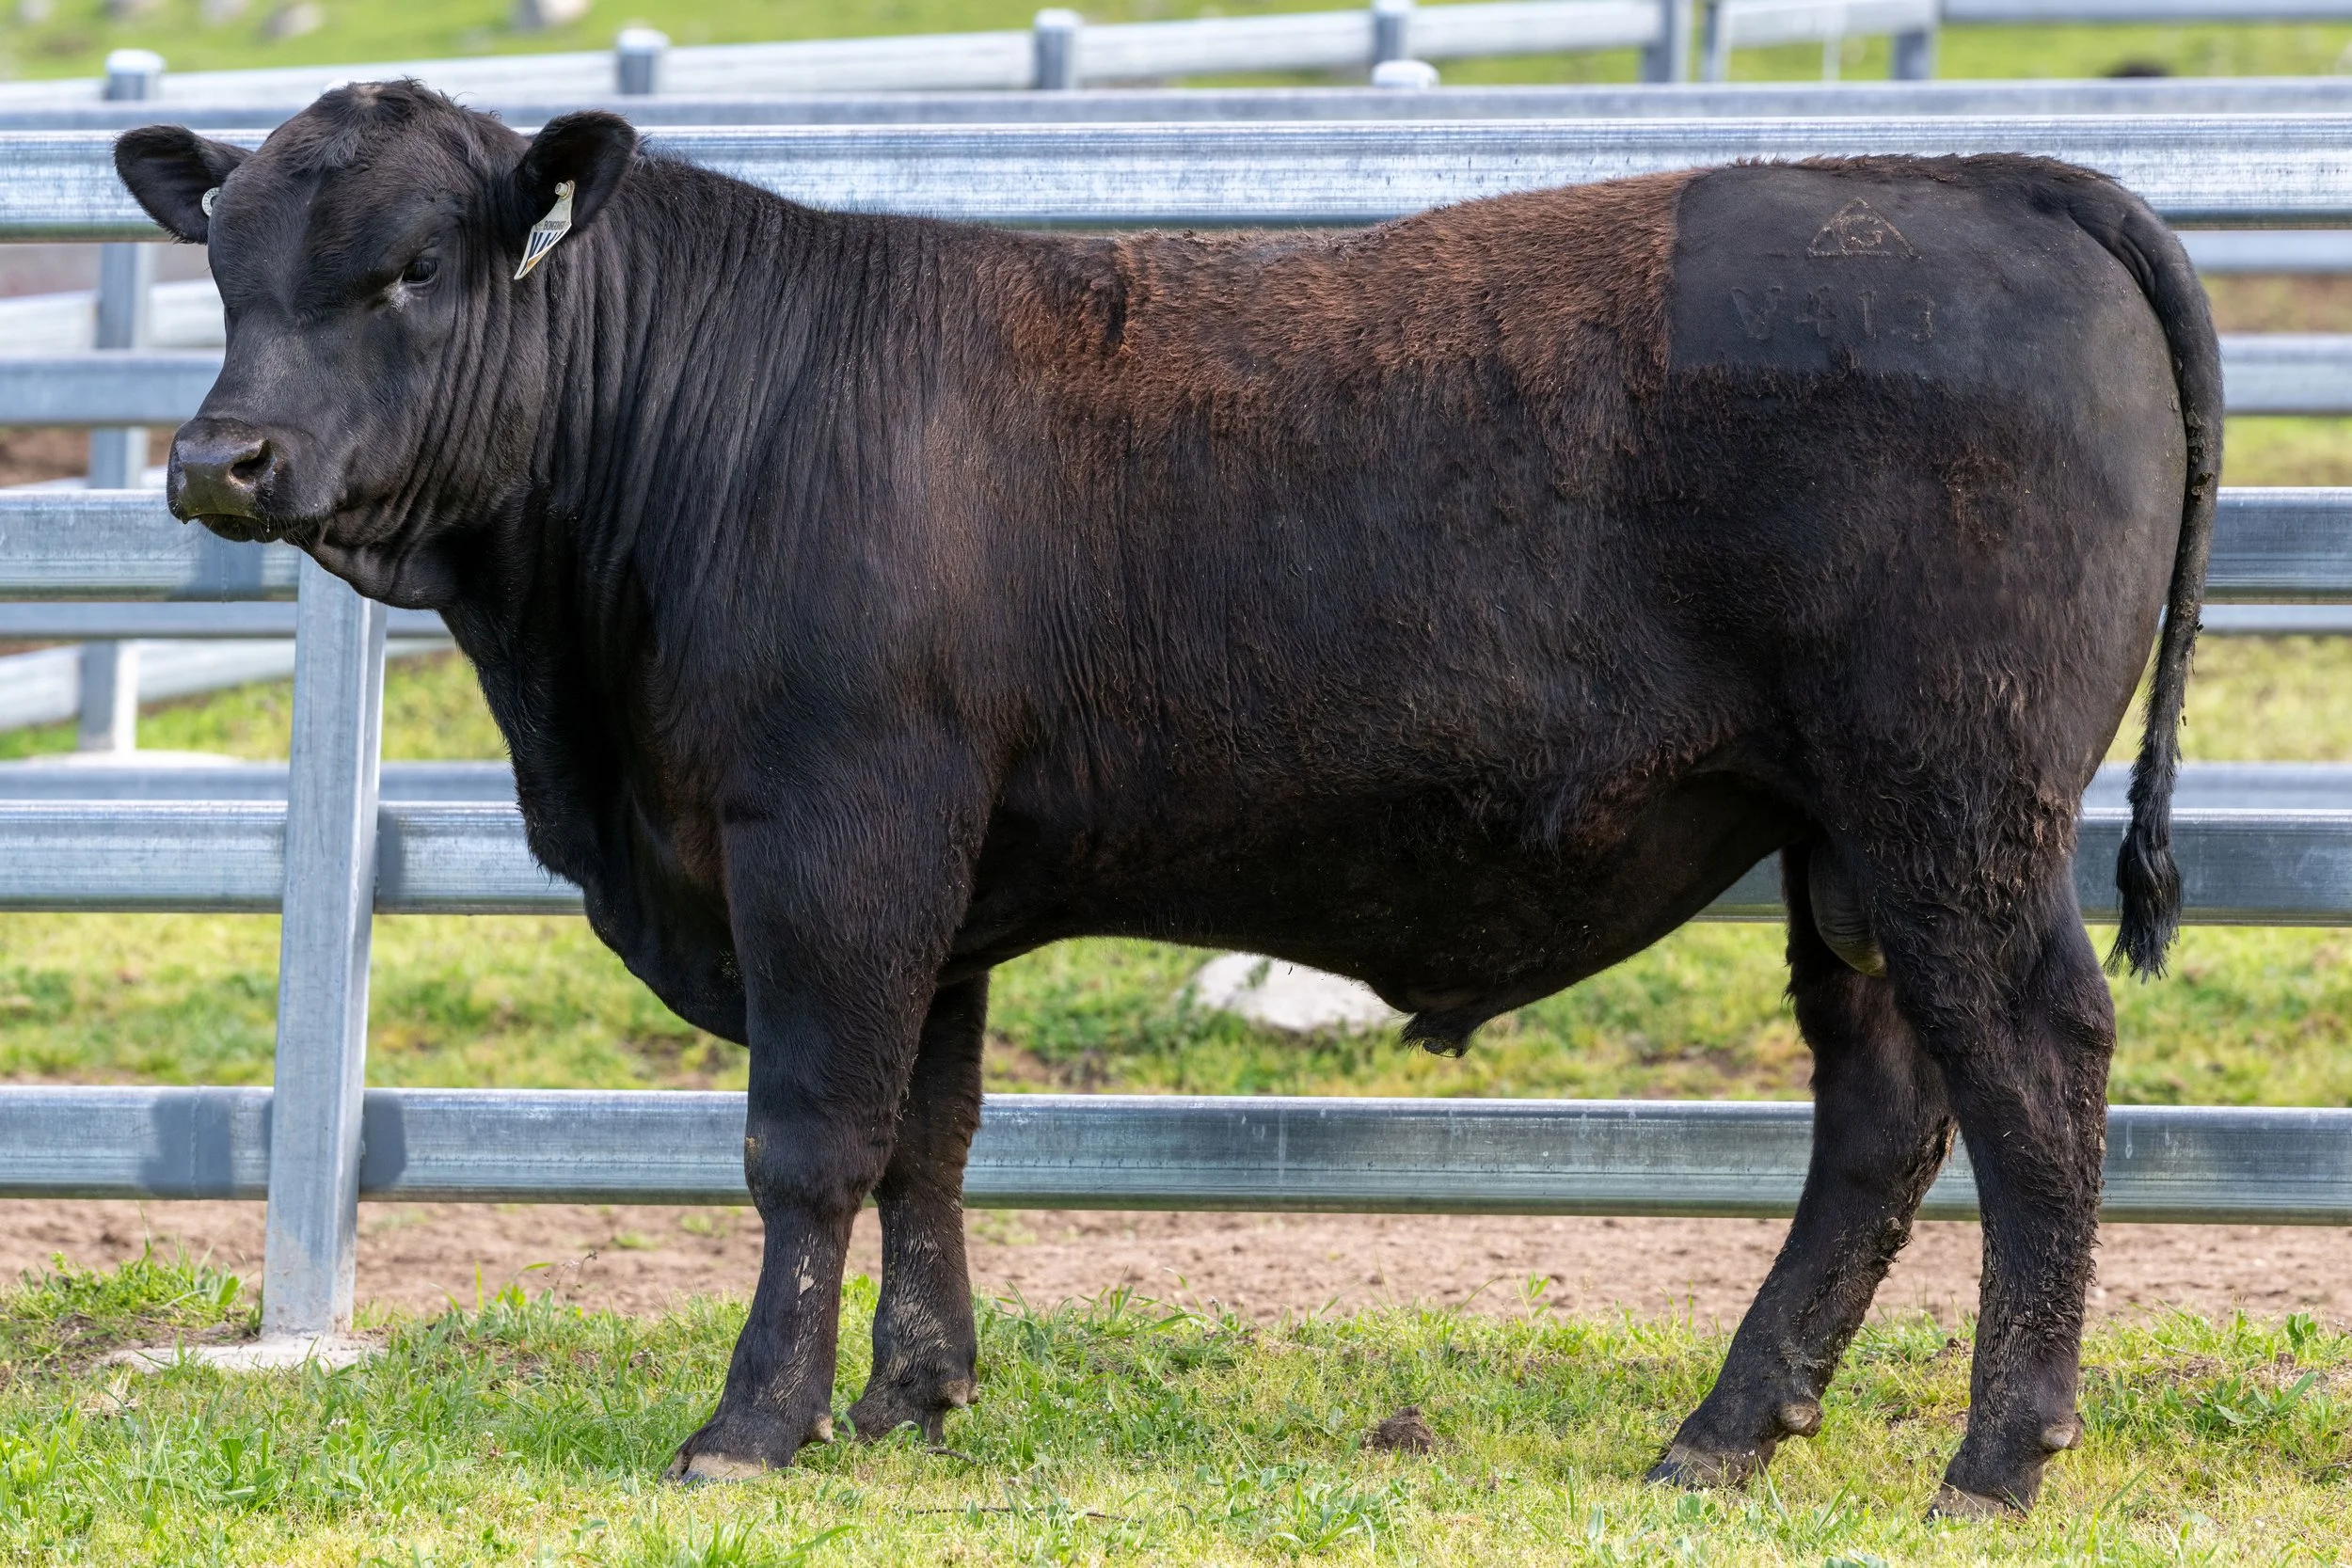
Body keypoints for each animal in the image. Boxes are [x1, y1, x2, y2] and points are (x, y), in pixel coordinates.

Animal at [115, 83, 2216, 1517]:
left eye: (411, 267)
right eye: (221, 263)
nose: (222, 458)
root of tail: (1980, 176)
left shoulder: (835, 840)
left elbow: (809, 1139)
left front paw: (751, 1421)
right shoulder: (937, 884)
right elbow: (927, 1139)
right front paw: (912, 1393)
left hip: (1951, 799)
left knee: (2032, 1079)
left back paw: (1994, 1451)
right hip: (1844, 839)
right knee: (1881, 1111)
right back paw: (1721, 1429)